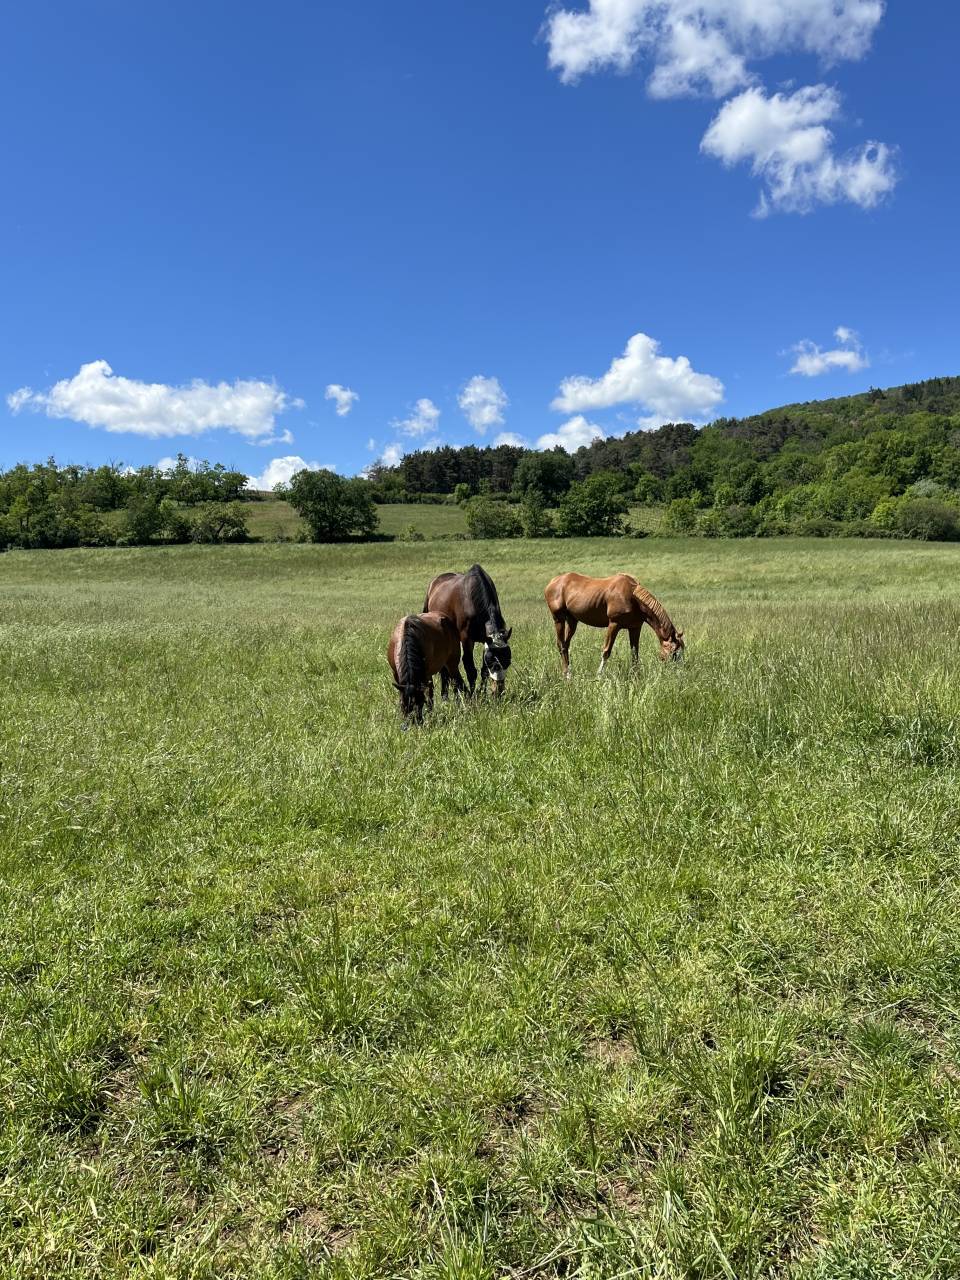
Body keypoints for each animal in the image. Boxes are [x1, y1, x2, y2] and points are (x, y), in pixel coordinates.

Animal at [423, 564, 512, 696]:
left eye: (508, 662)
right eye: (492, 663)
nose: (499, 692)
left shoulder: (485, 640)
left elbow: (484, 671)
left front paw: (482, 693)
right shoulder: (467, 639)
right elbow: (470, 669)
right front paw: (473, 695)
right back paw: (445, 695)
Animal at [544, 572, 684, 678]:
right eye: (674, 652)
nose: (678, 673)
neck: (632, 597)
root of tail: (552, 582)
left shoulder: (635, 628)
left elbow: (634, 653)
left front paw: (636, 676)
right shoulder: (614, 625)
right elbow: (606, 651)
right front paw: (599, 676)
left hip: (572, 621)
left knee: (566, 645)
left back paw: (569, 673)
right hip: (558, 619)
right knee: (561, 645)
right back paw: (567, 675)